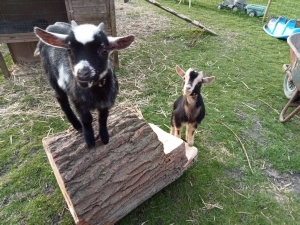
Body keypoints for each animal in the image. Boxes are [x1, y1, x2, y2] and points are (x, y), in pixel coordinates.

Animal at [33, 20, 135, 148]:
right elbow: (86, 119)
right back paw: (77, 125)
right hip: (51, 76)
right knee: (61, 99)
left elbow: (103, 118)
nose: (82, 73)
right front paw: (89, 140)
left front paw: (104, 137)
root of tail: (53, 25)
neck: (95, 92)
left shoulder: (106, 101)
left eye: (104, 51)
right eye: (69, 50)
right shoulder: (77, 101)